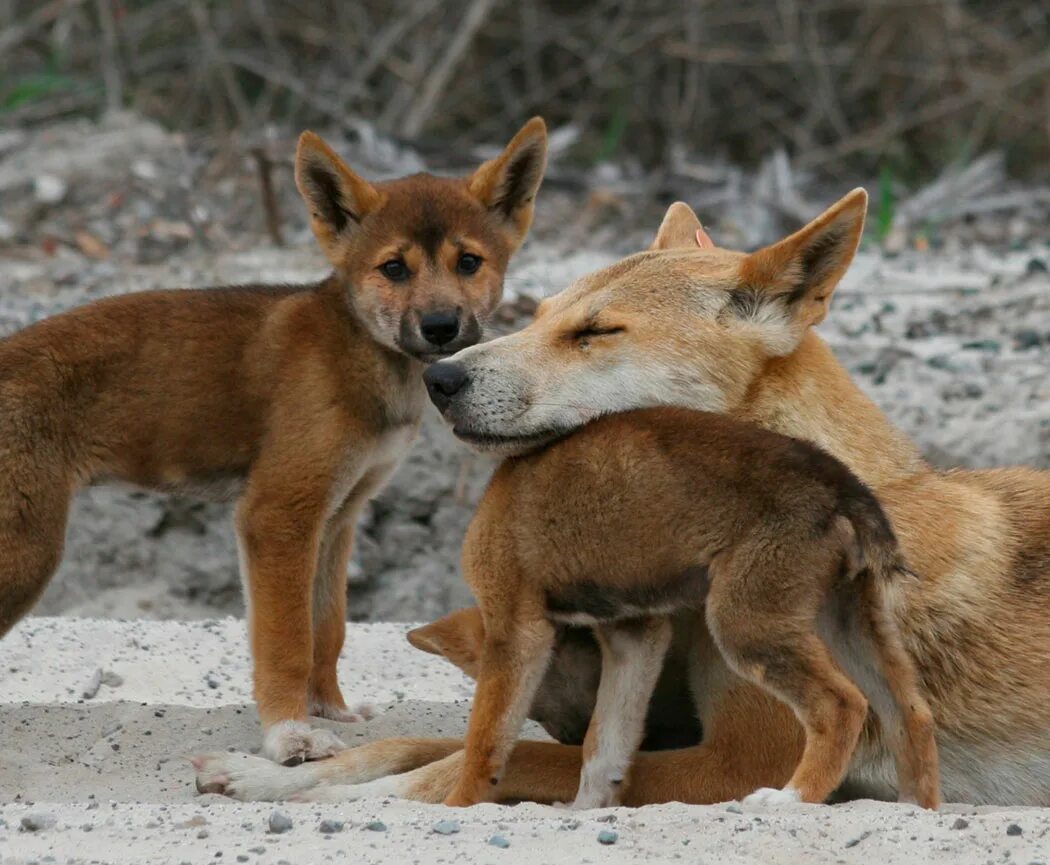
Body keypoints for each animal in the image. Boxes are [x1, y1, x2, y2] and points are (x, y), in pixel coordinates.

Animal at [0, 116, 554, 764]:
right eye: (394, 268)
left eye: (469, 262)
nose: (441, 326)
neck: (358, 358)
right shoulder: (277, 514)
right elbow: (286, 639)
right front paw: (290, 732)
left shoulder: (337, 517)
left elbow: (327, 631)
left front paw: (331, 710)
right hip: (28, 550)